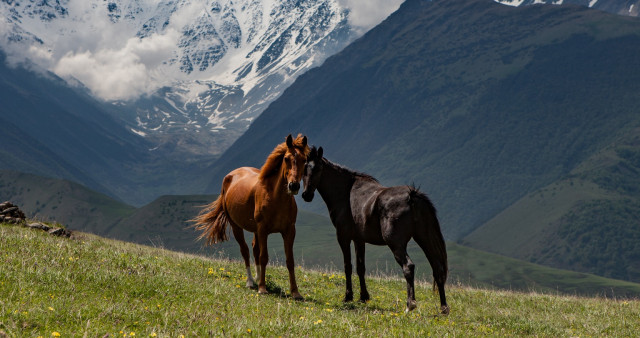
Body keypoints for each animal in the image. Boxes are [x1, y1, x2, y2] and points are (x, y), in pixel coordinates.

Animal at [194, 133, 308, 300]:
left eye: (304, 160)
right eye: (286, 158)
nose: (293, 186)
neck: (275, 198)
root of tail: (230, 175)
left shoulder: (289, 231)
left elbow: (289, 260)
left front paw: (295, 292)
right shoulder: (263, 229)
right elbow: (264, 256)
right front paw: (262, 288)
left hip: (256, 230)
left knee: (254, 249)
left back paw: (258, 277)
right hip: (237, 226)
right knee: (246, 251)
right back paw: (250, 282)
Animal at [302, 147, 448, 314]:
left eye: (318, 169)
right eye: (305, 168)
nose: (306, 195)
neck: (346, 193)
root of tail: (413, 196)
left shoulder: (343, 237)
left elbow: (347, 266)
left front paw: (348, 297)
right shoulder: (359, 239)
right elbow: (360, 267)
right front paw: (363, 297)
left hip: (396, 244)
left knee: (409, 267)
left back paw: (410, 304)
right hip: (424, 239)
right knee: (437, 268)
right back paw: (443, 308)